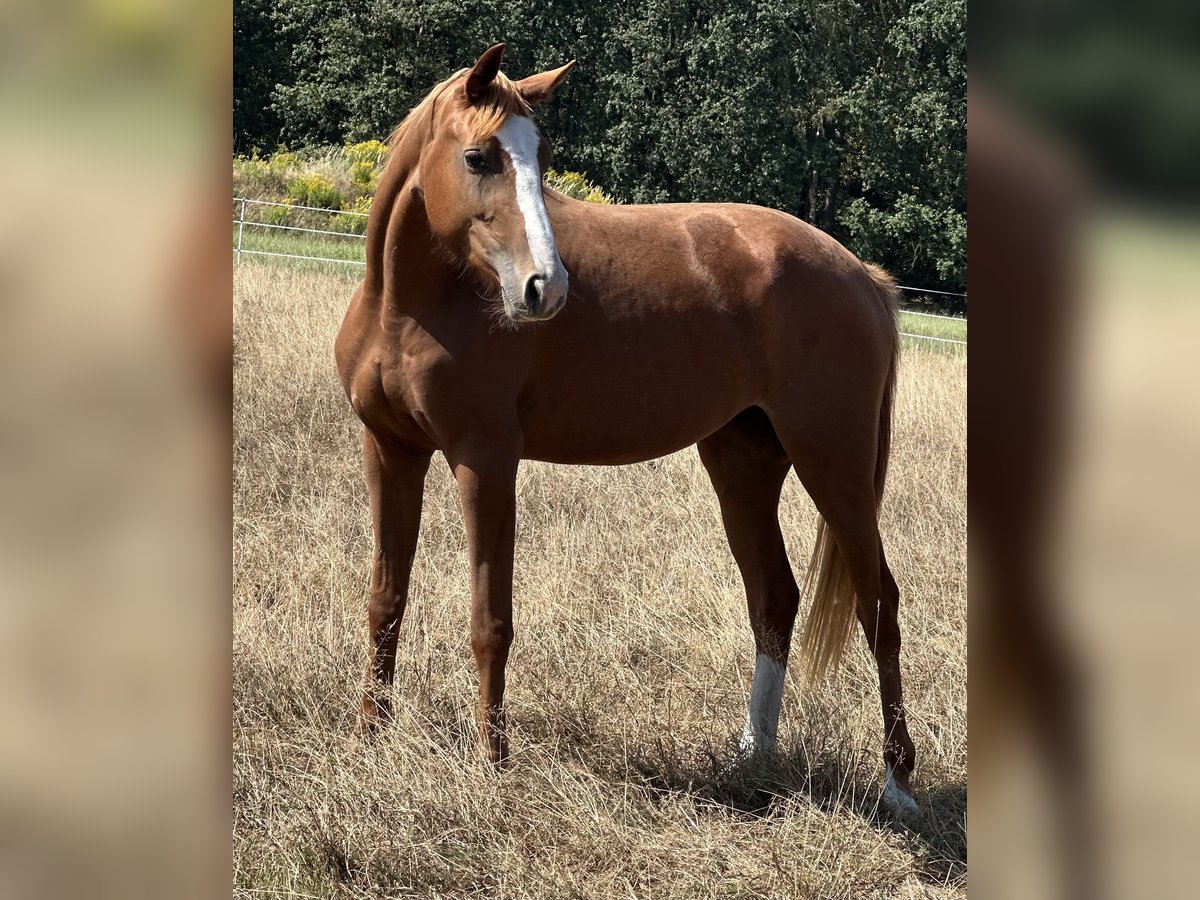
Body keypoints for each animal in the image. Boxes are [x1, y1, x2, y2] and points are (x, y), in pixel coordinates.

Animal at [338, 45, 916, 816]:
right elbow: (385, 598)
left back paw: (897, 785)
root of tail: (862, 275)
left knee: (879, 605)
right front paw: (367, 737)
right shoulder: (390, 451)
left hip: (837, 468)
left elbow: (491, 620)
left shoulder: (483, 461)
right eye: (478, 157)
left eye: (543, 156)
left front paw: (491, 766)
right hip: (744, 464)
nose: (545, 288)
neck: (410, 305)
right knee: (775, 599)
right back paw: (753, 756)